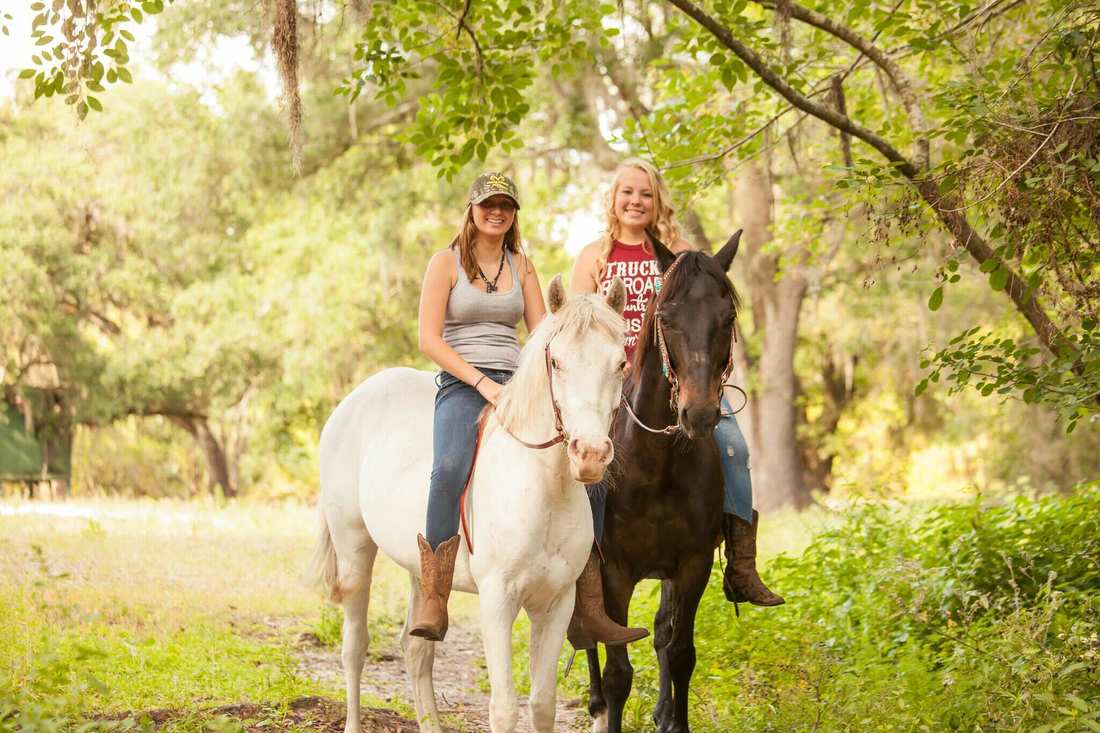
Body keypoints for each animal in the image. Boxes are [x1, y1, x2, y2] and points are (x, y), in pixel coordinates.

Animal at [314, 275, 633, 730]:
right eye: (557, 362)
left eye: (620, 364)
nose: (589, 454)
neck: (544, 488)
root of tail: (352, 401)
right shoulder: (497, 600)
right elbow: (504, 707)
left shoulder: (557, 603)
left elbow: (543, 703)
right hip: (354, 552)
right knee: (354, 648)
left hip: (420, 567)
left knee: (417, 649)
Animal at [585, 231, 739, 730]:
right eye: (667, 318)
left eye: (728, 316)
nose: (700, 413)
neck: (658, 465)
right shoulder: (613, 570)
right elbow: (618, 669)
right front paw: (607, 703)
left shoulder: (693, 565)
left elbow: (680, 650)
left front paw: (675, 719)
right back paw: (595, 703)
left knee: (661, 631)